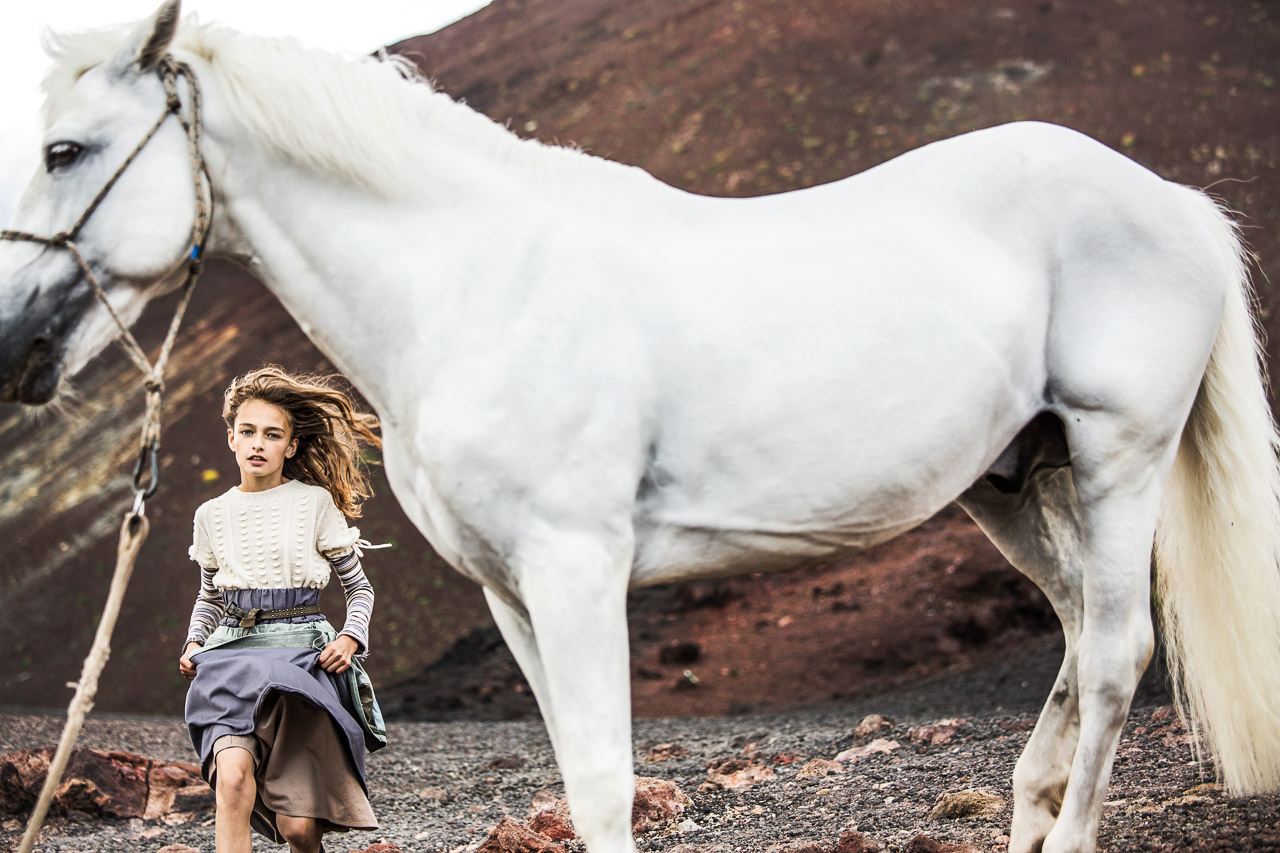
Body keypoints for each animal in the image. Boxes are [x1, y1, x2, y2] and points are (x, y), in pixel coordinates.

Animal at [3, 3, 1279, 851]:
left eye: (66, 149)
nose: (14, 347)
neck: (473, 286)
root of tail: (1166, 199)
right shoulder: (512, 594)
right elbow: (578, 775)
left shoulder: (577, 571)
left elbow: (610, 780)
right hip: (1010, 486)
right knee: (1075, 635)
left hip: (1117, 460)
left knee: (1112, 654)